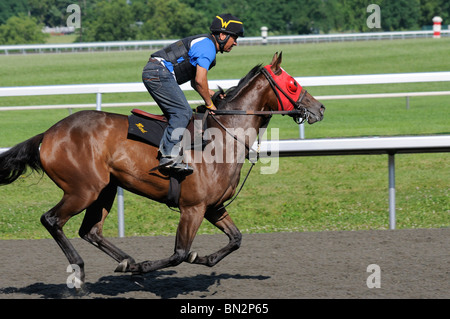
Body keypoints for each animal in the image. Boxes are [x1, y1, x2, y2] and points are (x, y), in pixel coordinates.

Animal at [0, 52, 324, 284]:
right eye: (292, 83)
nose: (319, 108)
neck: (222, 136)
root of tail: (48, 134)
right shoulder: (192, 208)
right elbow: (180, 253)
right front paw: (148, 265)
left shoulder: (214, 207)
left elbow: (235, 239)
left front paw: (201, 259)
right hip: (83, 189)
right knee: (52, 220)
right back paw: (81, 271)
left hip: (105, 188)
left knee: (90, 230)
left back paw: (126, 261)